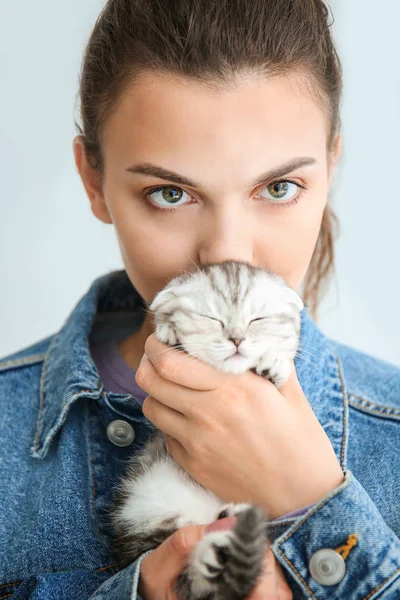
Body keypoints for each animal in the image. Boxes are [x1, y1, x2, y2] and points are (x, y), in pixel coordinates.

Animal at [108, 262, 302, 600]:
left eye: (257, 320)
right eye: (212, 319)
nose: (237, 339)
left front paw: (275, 366)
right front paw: (169, 333)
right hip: (141, 511)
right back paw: (219, 546)